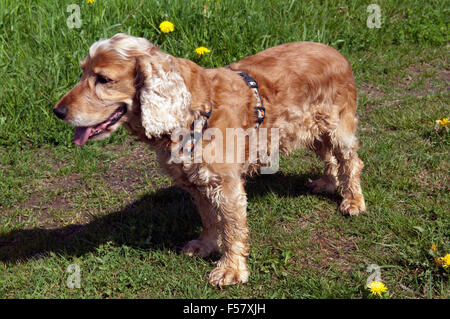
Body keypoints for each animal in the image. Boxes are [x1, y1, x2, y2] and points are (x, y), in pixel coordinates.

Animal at [54, 33, 368, 288]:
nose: (58, 111)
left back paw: (353, 201)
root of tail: (336, 51)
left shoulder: (227, 184)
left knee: (350, 162)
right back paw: (327, 183)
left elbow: (231, 228)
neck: (193, 110)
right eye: (82, 72)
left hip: (338, 127)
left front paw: (231, 270)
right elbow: (207, 218)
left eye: (103, 79)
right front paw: (204, 246)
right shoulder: (196, 181)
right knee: (329, 157)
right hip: (310, 130)